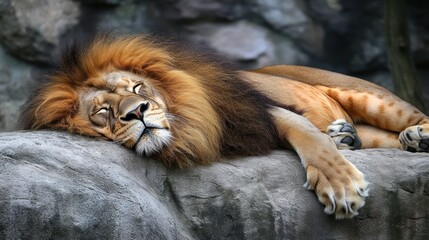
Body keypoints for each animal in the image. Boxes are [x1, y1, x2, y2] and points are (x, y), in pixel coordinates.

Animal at [19, 33, 428, 219]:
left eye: (136, 89)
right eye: (103, 110)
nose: (138, 112)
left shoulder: (264, 112)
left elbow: (310, 140)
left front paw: (341, 186)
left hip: (370, 98)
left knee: (414, 114)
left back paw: (416, 135)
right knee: (383, 138)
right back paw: (365, 138)